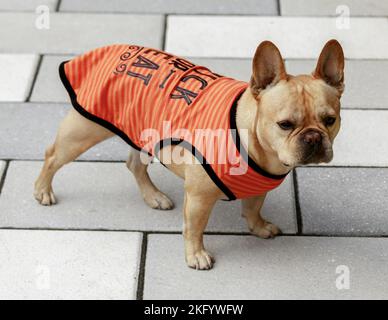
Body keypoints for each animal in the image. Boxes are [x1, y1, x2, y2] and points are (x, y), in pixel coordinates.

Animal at [33, 40, 342, 270]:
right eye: (285, 124)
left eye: (330, 120)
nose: (314, 137)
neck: (257, 147)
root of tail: (107, 50)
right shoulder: (199, 196)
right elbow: (194, 228)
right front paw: (196, 255)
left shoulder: (259, 187)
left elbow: (253, 208)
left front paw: (259, 227)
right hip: (83, 131)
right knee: (52, 156)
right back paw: (43, 190)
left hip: (142, 132)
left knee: (134, 164)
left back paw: (154, 196)